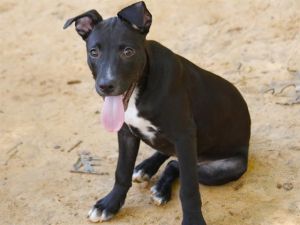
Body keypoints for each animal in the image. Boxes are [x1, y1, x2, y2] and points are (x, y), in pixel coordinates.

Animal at [63, 2, 251, 225]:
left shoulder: (184, 136)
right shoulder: (126, 133)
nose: (105, 86)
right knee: (170, 158)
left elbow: (189, 188)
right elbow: (122, 172)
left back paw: (161, 188)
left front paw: (193, 219)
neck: (140, 90)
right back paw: (146, 168)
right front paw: (110, 204)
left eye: (128, 51)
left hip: (225, 167)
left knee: (177, 165)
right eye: (94, 52)